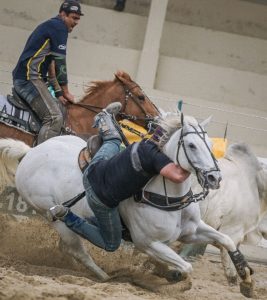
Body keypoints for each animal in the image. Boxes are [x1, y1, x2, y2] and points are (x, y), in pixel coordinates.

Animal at [0, 113, 255, 298]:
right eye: (191, 145)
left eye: (210, 144)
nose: (214, 178)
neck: (164, 195)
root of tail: (29, 153)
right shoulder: (148, 243)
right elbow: (186, 268)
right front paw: (169, 276)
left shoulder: (192, 230)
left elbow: (226, 240)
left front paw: (245, 279)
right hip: (52, 215)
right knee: (76, 247)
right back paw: (105, 276)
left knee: (69, 247)